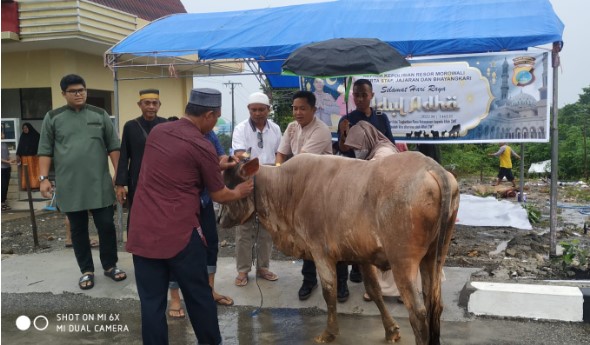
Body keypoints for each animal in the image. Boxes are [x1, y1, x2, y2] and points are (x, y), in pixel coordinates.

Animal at [220, 152, 460, 342]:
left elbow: (329, 292)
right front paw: (391, 330)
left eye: (231, 187)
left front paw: (329, 333)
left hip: (403, 262)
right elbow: (374, 291)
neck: (288, 189)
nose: (219, 220)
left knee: (418, 312)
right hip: (434, 257)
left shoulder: (320, 251)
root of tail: (432, 167)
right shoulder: (361, 255)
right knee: (434, 303)